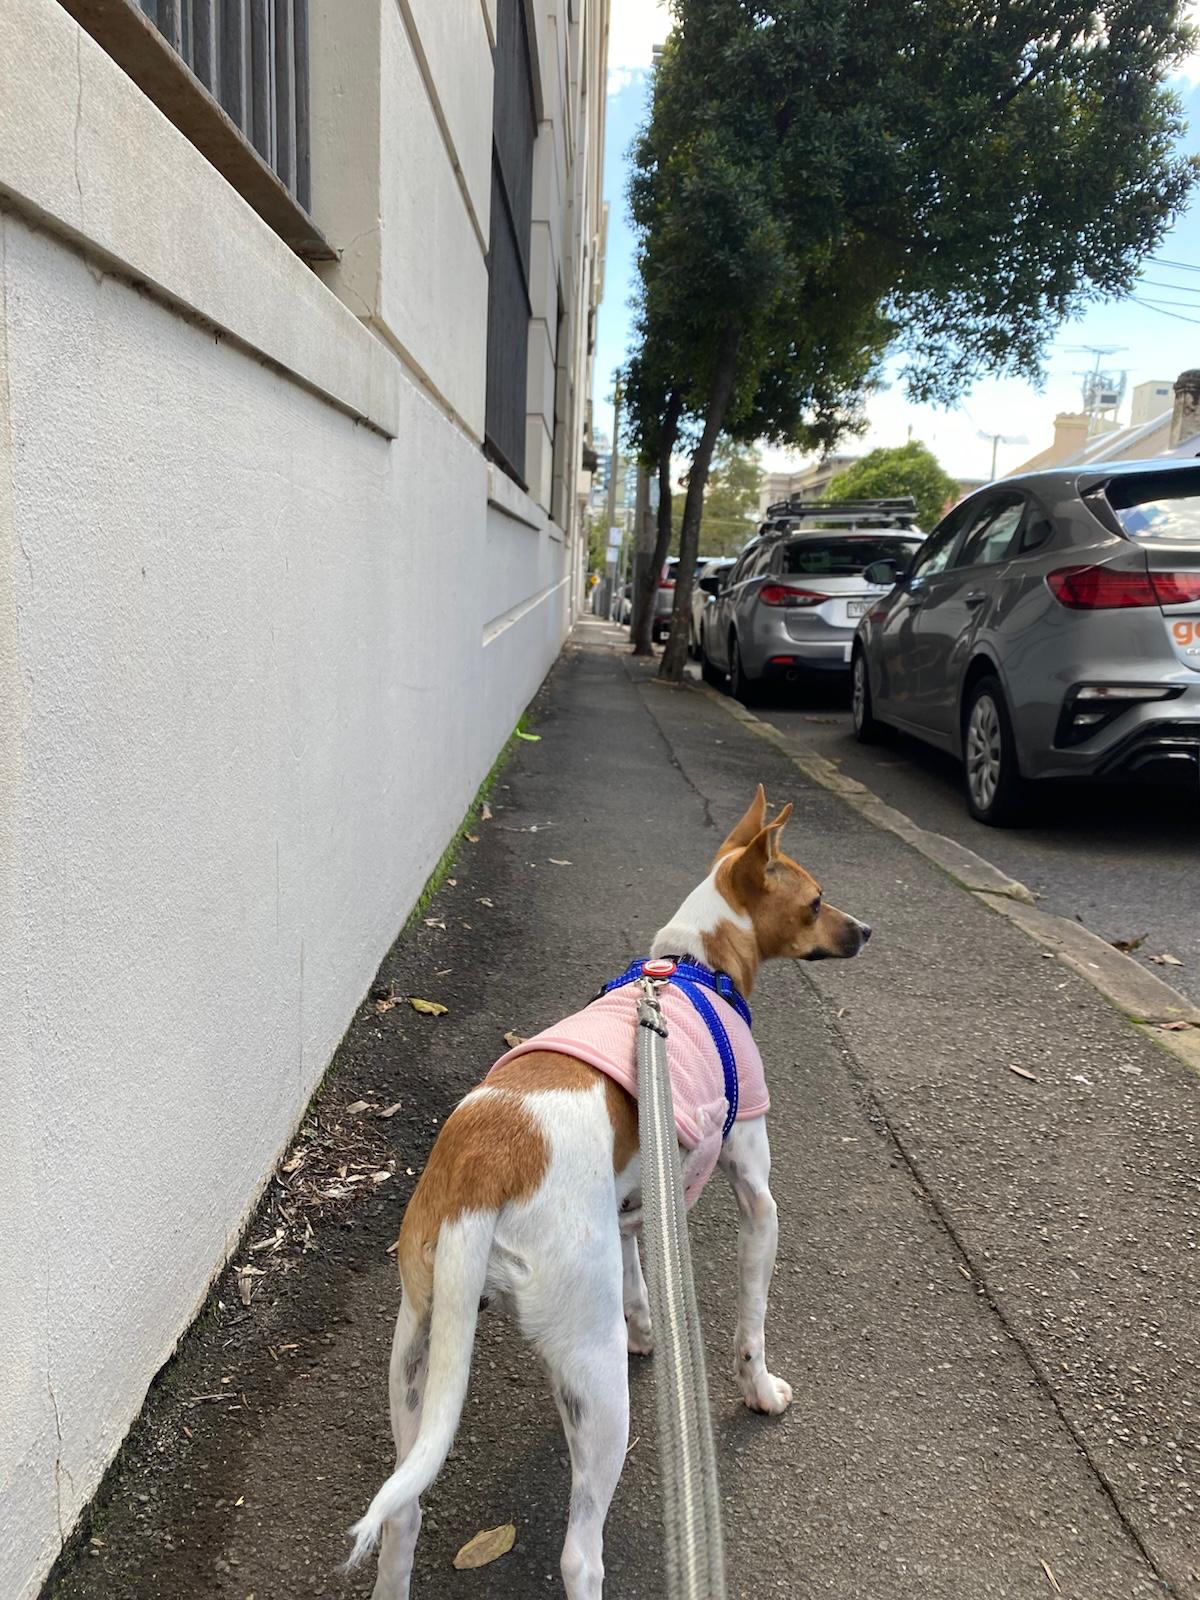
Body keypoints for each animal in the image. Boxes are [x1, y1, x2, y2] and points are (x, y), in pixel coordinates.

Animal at [348, 785, 870, 1598]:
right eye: (816, 902)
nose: (866, 931)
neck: (693, 966)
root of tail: (484, 1166)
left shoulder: (633, 1204)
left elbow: (637, 1276)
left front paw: (648, 1327)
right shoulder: (758, 1199)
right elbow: (751, 1321)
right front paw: (759, 1389)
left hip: (419, 1354)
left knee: (403, 1514)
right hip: (595, 1388)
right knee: (578, 1551)